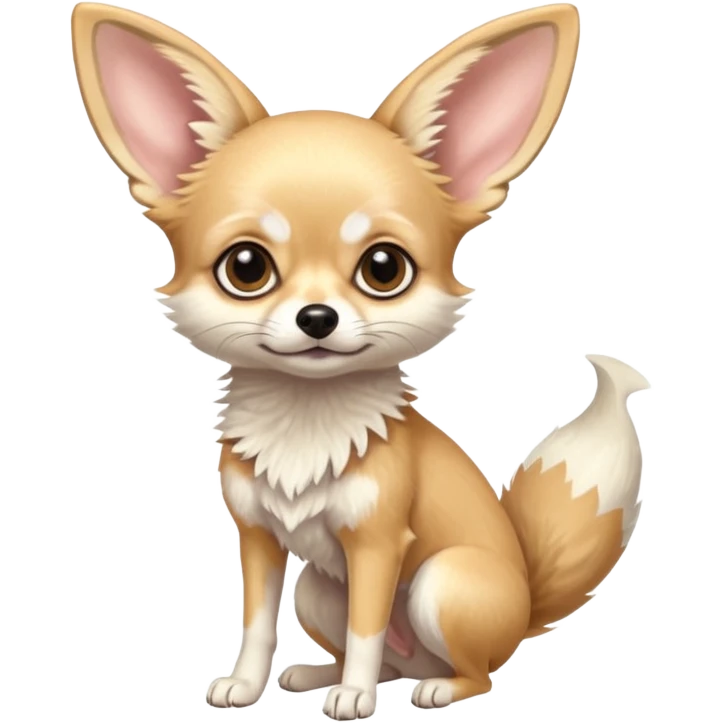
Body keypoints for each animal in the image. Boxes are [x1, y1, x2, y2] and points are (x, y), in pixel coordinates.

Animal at [70, 2, 650, 719]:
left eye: (383, 269)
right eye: (245, 267)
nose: (316, 317)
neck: (304, 419)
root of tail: (521, 611)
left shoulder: (377, 544)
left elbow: (369, 627)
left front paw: (353, 700)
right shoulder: (257, 539)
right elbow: (257, 623)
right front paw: (244, 684)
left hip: (441, 583)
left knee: (470, 672)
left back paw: (428, 687)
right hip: (319, 589)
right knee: (381, 657)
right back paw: (319, 673)